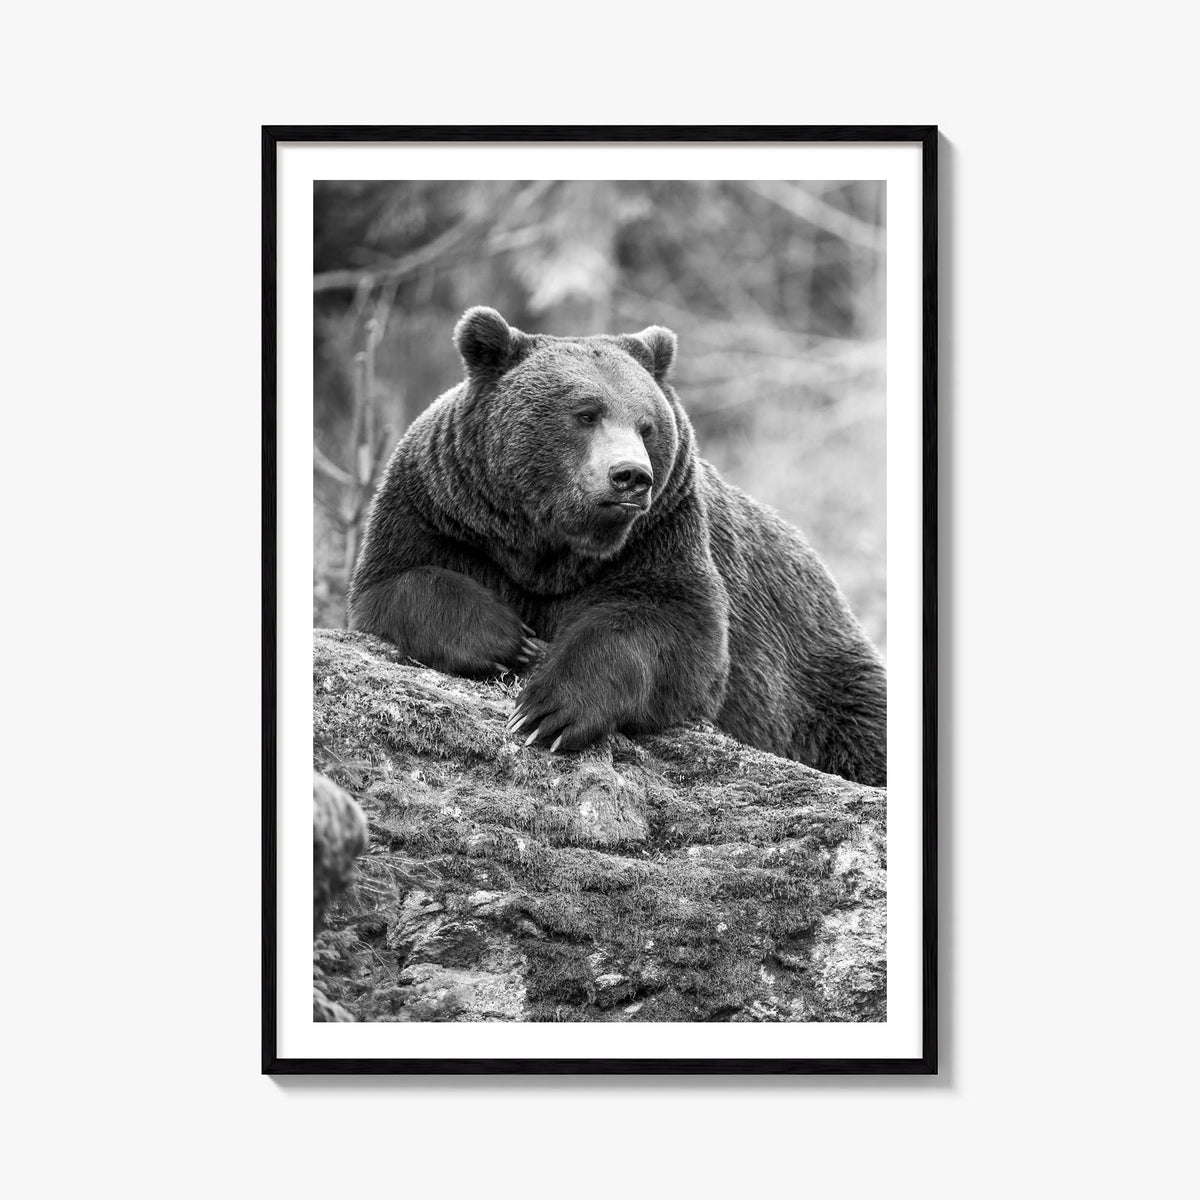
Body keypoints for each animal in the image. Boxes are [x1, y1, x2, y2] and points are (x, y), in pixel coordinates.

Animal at [348, 307, 887, 786]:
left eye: (647, 424)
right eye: (585, 413)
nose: (631, 475)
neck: (549, 547)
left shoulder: (661, 536)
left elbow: (672, 629)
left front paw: (549, 711)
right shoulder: (440, 511)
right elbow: (398, 582)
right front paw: (509, 639)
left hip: (818, 675)